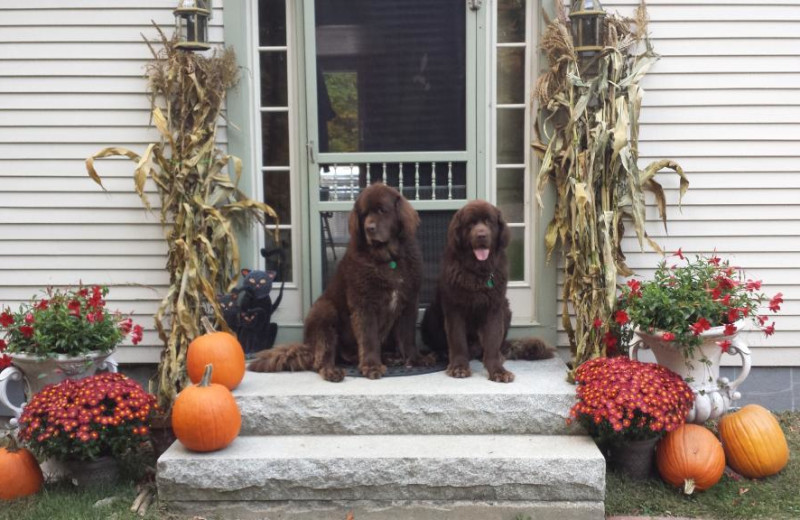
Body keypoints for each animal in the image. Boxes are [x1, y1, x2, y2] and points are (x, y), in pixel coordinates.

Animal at [248, 183, 424, 382]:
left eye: (382, 210)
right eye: (364, 214)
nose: (369, 228)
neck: (388, 259)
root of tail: (307, 346)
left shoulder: (409, 301)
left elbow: (408, 335)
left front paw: (416, 359)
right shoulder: (364, 305)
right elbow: (369, 338)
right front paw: (372, 367)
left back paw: (389, 357)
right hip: (325, 311)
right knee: (321, 358)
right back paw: (333, 371)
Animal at [418, 200, 556, 382]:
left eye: (488, 221)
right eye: (470, 223)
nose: (481, 235)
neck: (478, 272)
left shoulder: (494, 308)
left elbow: (492, 342)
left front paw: (498, 371)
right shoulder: (455, 308)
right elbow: (457, 340)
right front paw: (459, 367)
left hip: (506, 309)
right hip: (430, 315)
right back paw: (438, 355)